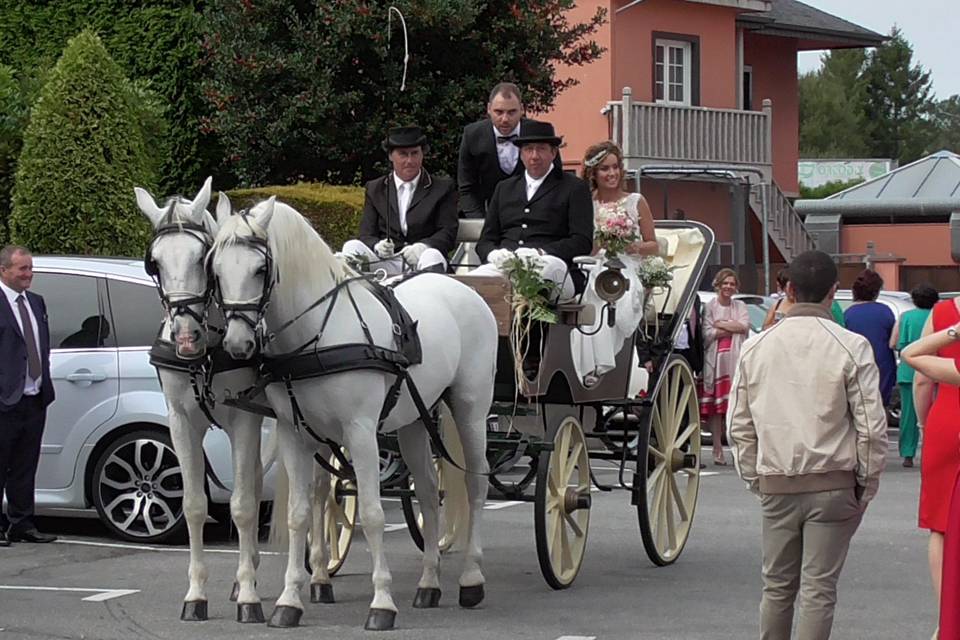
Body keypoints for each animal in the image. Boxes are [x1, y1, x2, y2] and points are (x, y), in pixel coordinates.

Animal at [134, 181, 270, 624]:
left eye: (201, 258)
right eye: (155, 263)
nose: (186, 337)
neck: (208, 355)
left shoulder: (245, 421)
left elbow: (242, 506)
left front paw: (250, 599)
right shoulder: (180, 422)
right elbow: (194, 505)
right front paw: (196, 595)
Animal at [209, 196, 496, 632]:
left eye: (261, 269)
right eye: (216, 270)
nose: (238, 344)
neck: (317, 336)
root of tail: (459, 286)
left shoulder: (360, 433)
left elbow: (375, 514)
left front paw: (382, 604)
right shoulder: (295, 434)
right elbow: (299, 514)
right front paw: (289, 602)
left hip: (471, 409)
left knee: (476, 485)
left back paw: (471, 579)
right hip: (414, 421)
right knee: (429, 493)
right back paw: (429, 584)